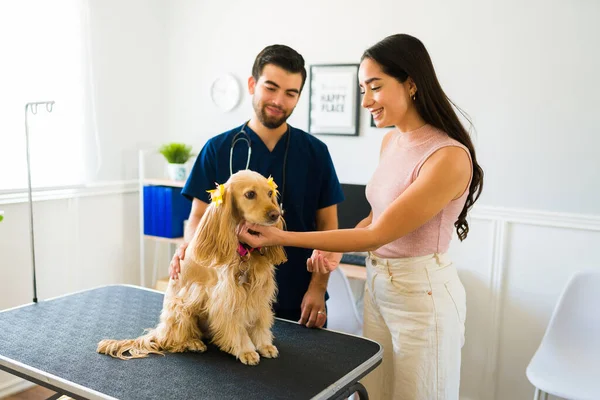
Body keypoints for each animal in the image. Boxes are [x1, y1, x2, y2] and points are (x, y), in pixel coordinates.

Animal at [95, 170, 286, 364]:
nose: (275, 214)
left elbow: (260, 322)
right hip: (180, 307)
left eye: (270, 193)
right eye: (250, 194)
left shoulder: (259, 292)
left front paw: (264, 345)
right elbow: (237, 327)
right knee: (169, 340)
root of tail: (160, 329)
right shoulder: (227, 297)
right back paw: (192, 343)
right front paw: (246, 350)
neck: (244, 250)